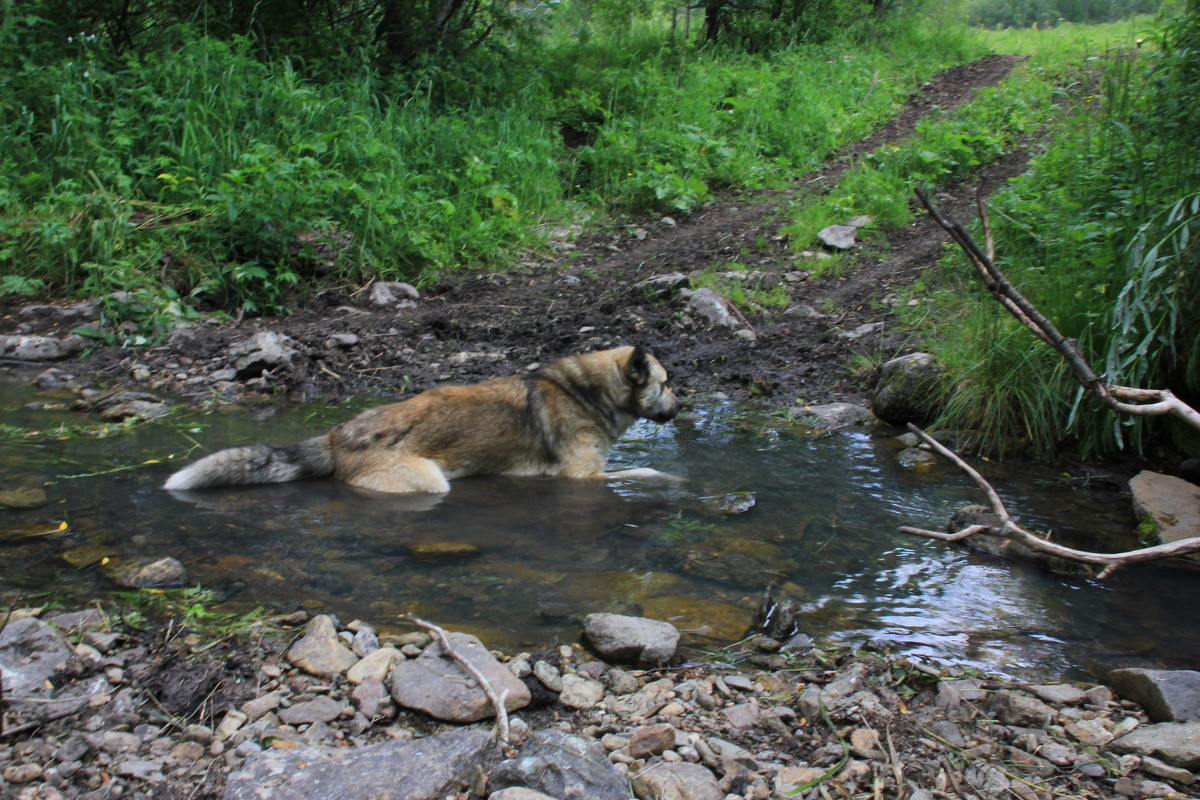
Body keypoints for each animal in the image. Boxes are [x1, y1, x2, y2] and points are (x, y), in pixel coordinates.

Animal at [164, 347, 681, 496]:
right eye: (667, 383)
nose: (680, 409)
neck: (587, 391)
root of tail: (336, 437)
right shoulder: (583, 477)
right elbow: (647, 470)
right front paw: (673, 477)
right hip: (430, 480)